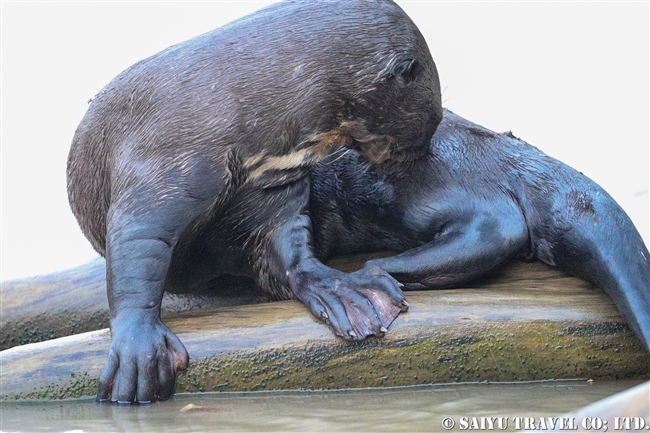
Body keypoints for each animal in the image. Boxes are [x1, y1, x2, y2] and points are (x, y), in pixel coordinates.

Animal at [67, 1, 440, 404]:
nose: (430, 139)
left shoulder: (277, 191)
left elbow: (290, 256)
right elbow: (136, 253)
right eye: (431, 111)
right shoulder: (163, 168)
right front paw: (138, 350)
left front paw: (350, 292)